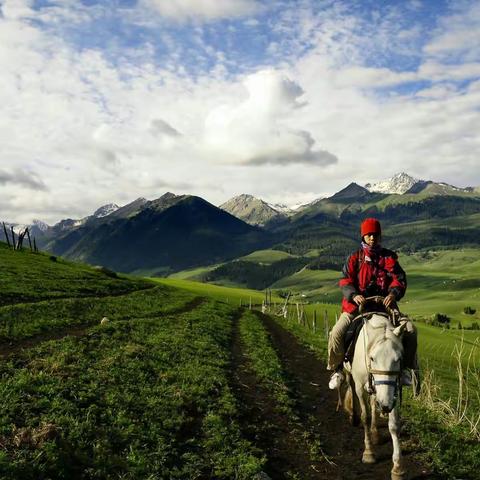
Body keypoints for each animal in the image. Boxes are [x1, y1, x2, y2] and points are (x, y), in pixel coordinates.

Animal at [344, 312, 406, 480]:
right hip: (351, 376)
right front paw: (368, 453)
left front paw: (397, 468)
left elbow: (394, 425)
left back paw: (375, 433)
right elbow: (365, 416)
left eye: (398, 359)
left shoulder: (392, 391)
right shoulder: (360, 387)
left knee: (373, 403)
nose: (384, 405)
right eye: (372, 358)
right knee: (351, 388)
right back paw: (353, 416)